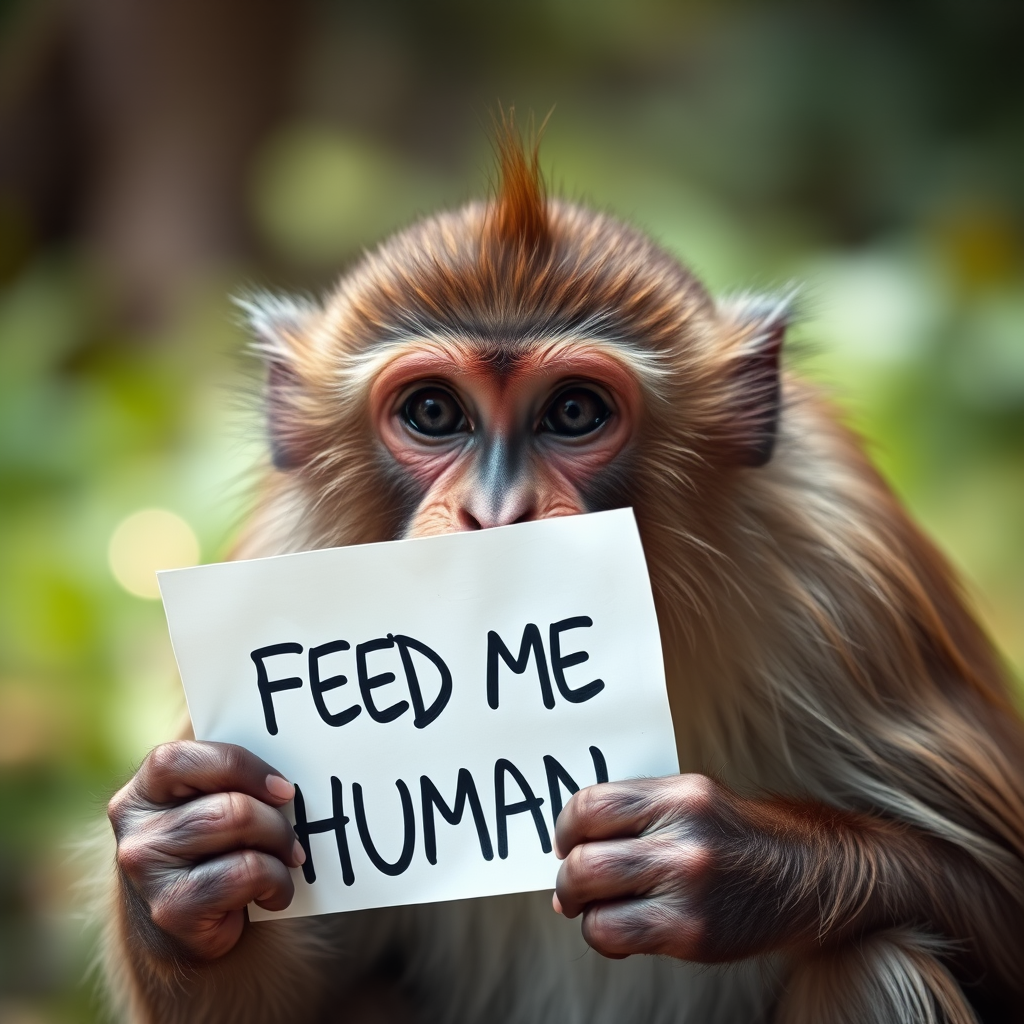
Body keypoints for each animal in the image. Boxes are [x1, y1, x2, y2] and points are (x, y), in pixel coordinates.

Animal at [101, 120, 1024, 1024]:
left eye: (575, 411)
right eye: (433, 411)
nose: (496, 512)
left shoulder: (845, 571)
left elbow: (1000, 892)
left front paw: (723, 864)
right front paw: (184, 850)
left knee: (875, 961)